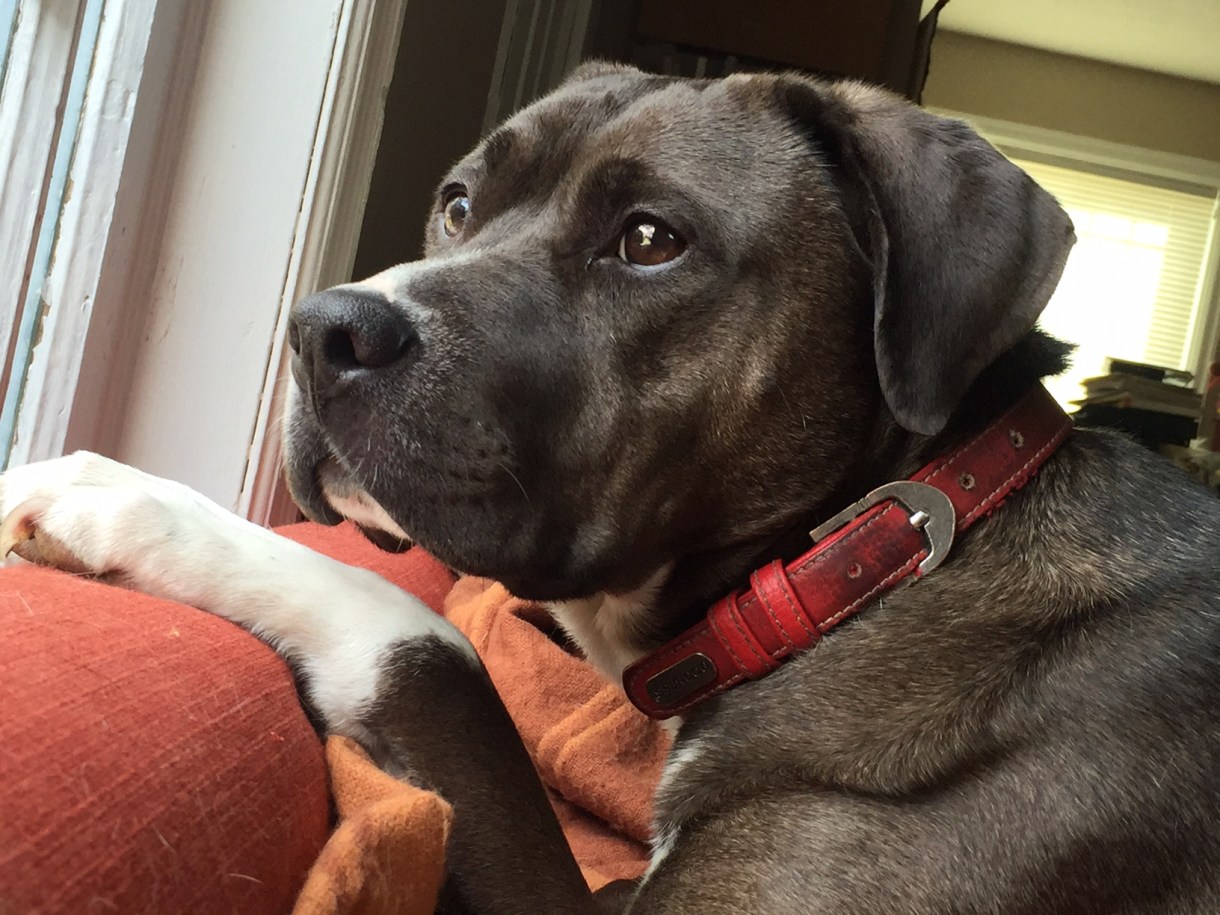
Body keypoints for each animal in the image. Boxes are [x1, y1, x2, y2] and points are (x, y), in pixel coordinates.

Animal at [2, 61, 1220, 912]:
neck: (877, 552)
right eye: (457, 203)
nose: (321, 330)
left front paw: (115, 496)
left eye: (648, 239)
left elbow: (428, 643)